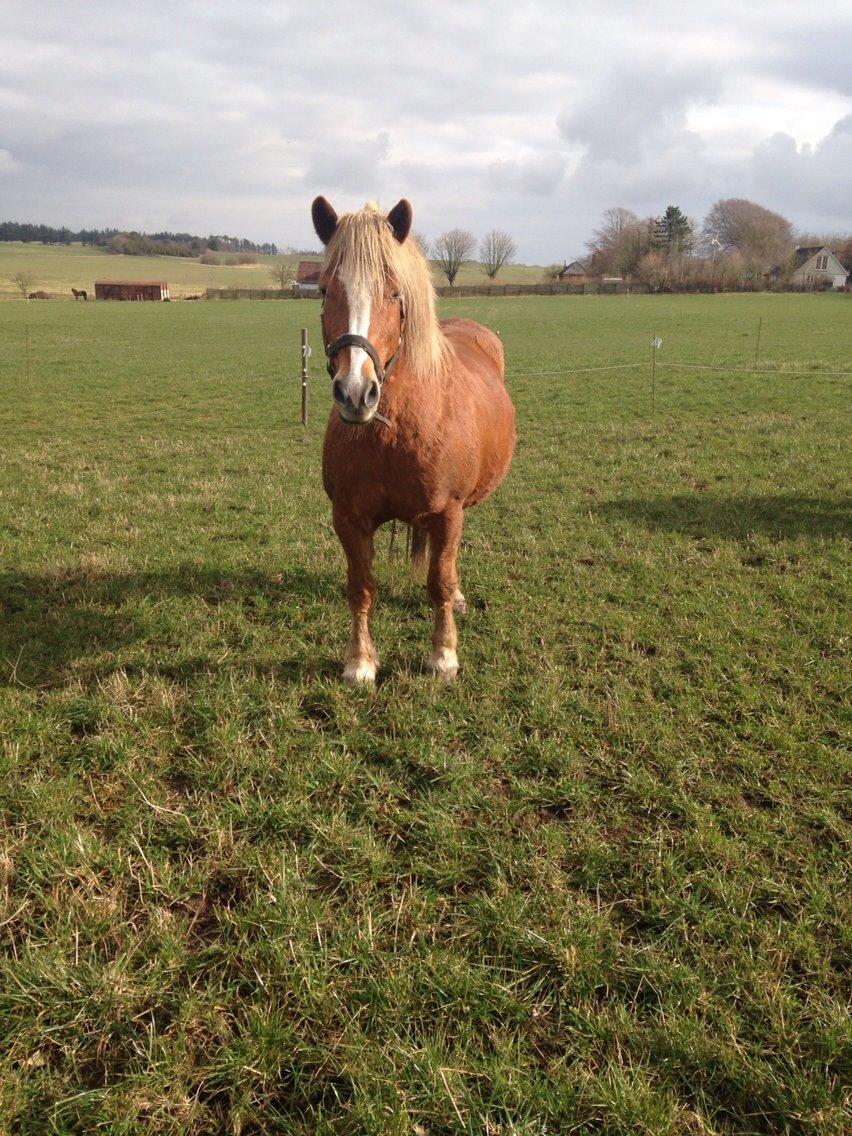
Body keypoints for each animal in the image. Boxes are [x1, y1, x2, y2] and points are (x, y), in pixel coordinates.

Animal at [311, 197, 518, 681]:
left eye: (393, 292)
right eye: (325, 291)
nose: (355, 392)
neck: (393, 433)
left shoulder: (447, 514)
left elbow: (438, 581)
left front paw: (443, 656)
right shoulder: (348, 519)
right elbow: (360, 586)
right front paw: (360, 661)